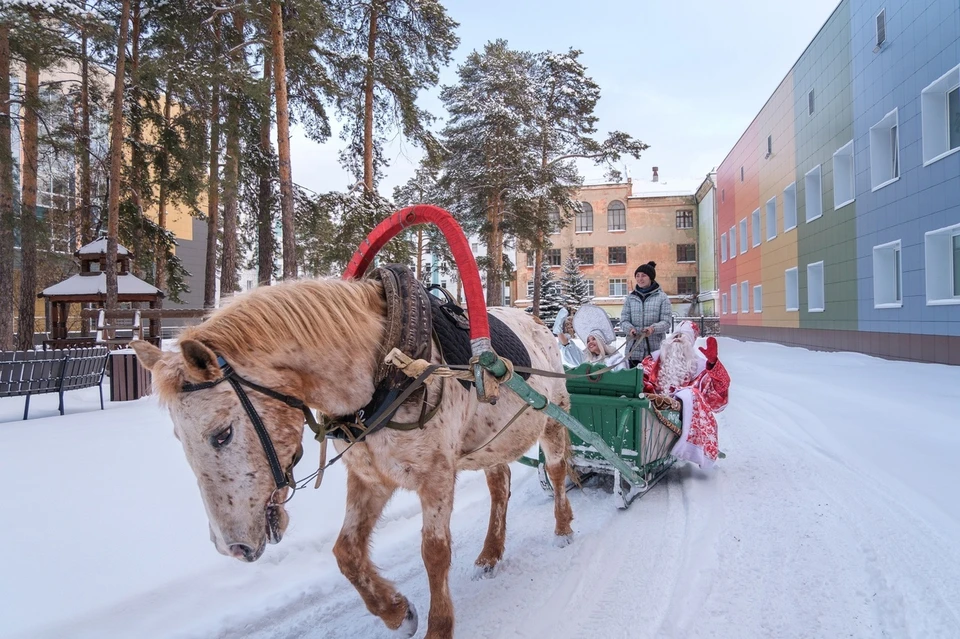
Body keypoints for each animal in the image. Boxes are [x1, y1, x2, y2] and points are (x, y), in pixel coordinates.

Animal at [131, 278, 572, 639]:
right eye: (178, 437)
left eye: (221, 434)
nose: (231, 548)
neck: (389, 369)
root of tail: (537, 322)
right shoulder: (369, 476)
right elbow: (345, 552)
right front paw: (397, 612)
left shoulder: (436, 477)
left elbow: (434, 553)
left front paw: (438, 626)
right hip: (491, 443)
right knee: (500, 487)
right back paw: (490, 553)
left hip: (553, 420)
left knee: (557, 470)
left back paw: (564, 526)